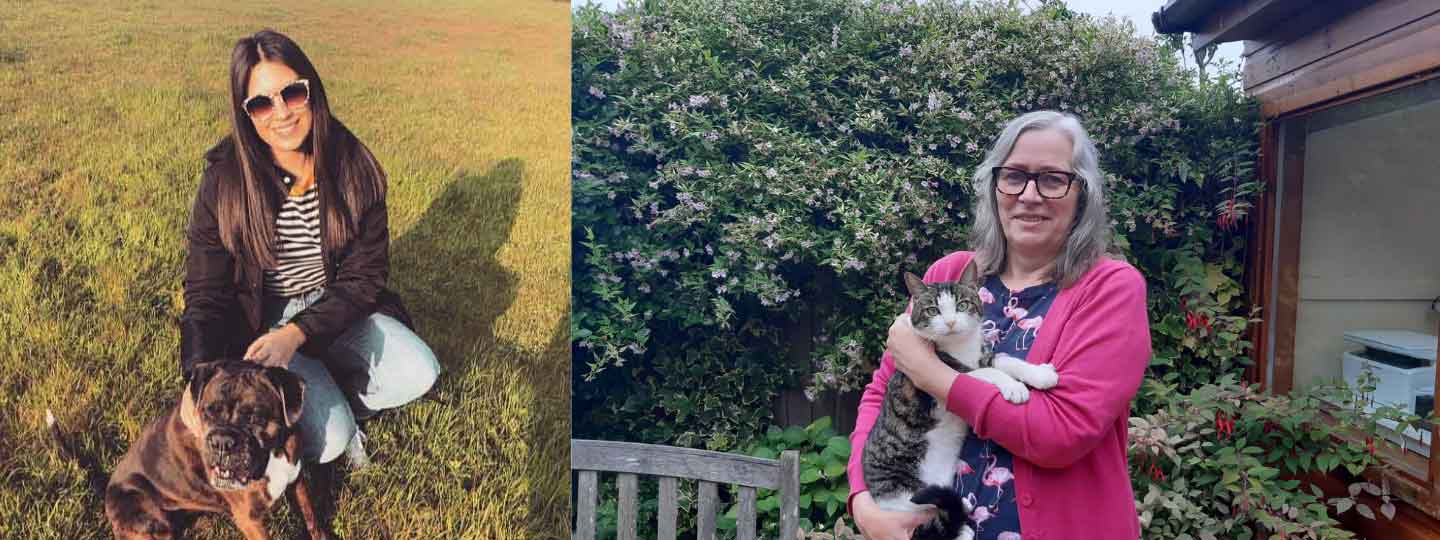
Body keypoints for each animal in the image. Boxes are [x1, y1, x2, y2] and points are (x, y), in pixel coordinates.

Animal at [104, 361, 329, 538]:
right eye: (207, 412)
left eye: (254, 417)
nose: (222, 442)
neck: (273, 455)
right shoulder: (249, 520)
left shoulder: (297, 479)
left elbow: (311, 516)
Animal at [858, 264, 1065, 538]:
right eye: (933, 310)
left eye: (962, 304)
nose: (950, 322)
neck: (960, 347)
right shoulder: (936, 377)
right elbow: (985, 374)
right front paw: (1014, 387)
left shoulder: (982, 356)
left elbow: (1004, 361)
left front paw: (1039, 374)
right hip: (901, 490)